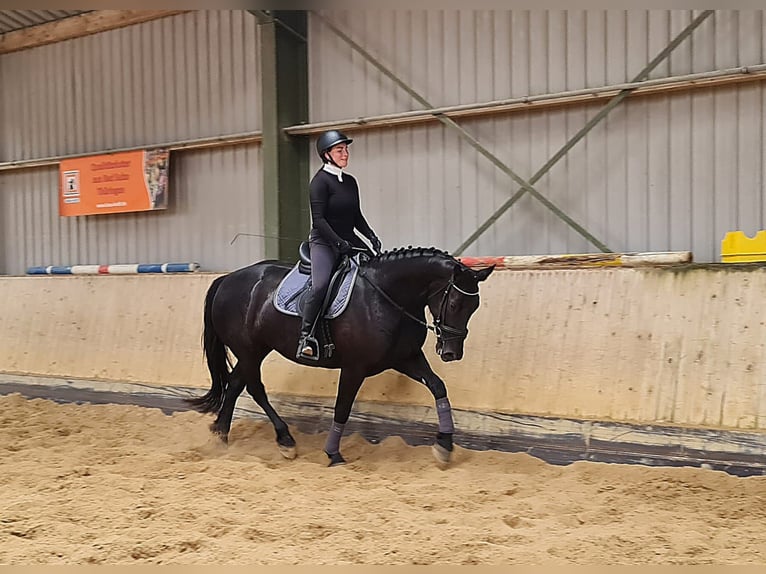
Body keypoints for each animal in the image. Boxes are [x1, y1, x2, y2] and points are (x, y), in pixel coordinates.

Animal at [189, 248, 496, 468]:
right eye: (454, 304)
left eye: (475, 306)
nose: (452, 353)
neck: (386, 297)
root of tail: (227, 278)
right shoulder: (354, 367)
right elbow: (342, 408)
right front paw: (333, 454)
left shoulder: (406, 358)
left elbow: (438, 387)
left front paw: (444, 446)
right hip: (250, 350)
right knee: (254, 387)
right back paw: (285, 440)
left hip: (254, 350)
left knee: (236, 384)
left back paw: (222, 436)